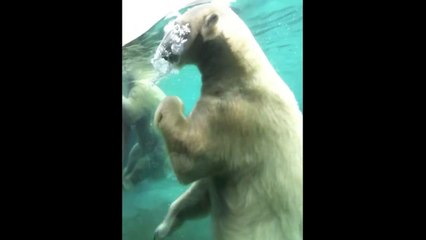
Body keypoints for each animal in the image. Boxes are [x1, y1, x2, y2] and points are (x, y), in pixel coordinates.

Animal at [151, 2, 302, 240]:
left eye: (177, 27)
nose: (161, 51)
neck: (241, 73)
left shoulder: (235, 118)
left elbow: (190, 159)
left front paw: (173, 103)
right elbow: (202, 191)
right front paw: (163, 227)